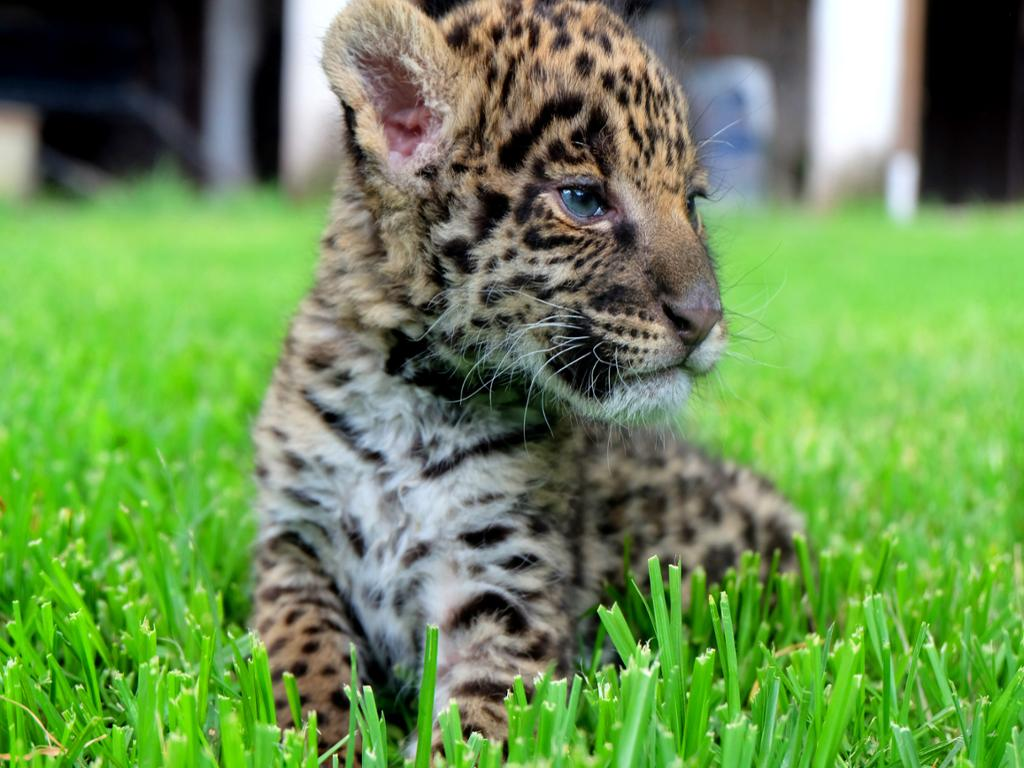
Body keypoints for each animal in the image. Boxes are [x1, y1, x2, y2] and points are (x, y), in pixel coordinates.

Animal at [251, 0, 802, 753]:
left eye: (691, 202)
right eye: (582, 199)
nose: (704, 318)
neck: (414, 403)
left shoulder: (504, 587)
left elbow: (477, 725)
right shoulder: (292, 544)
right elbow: (299, 654)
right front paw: (321, 741)